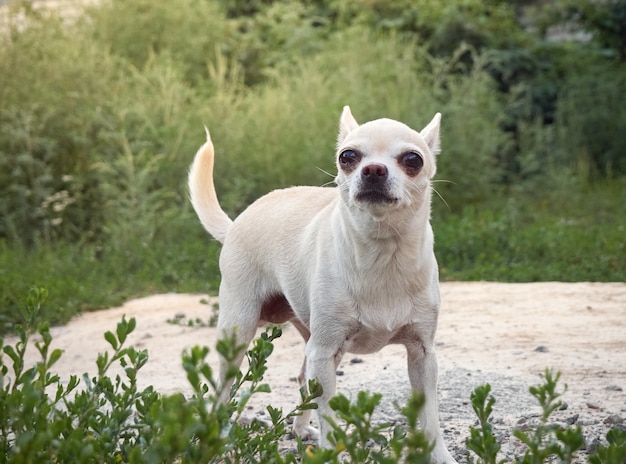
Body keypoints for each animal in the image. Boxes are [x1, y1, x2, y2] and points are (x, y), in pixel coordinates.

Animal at [188, 107, 456, 462]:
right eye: (348, 157)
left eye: (413, 159)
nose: (373, 170)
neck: (382, 254)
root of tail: (235, 224)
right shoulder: (325, 353)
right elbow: (328, 415)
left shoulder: (422, 355)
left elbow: (430, 420)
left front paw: (439, 456)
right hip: (241, 331)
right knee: (223, 388)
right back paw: (219, 434)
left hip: (314, 340)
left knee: (303, 380)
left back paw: (301, 430)